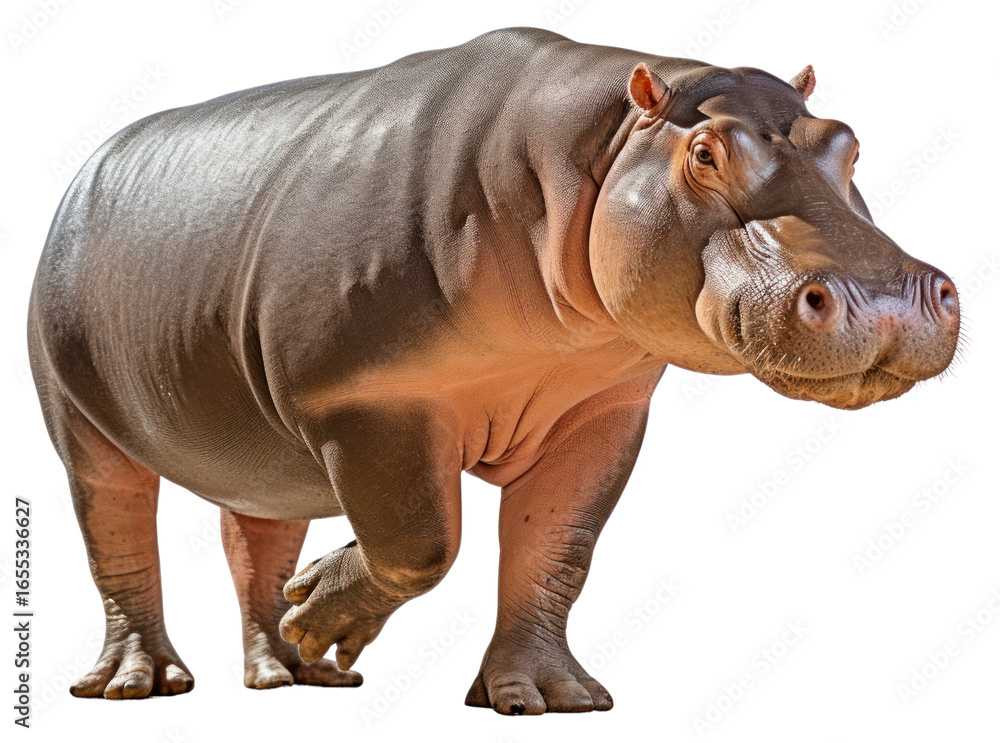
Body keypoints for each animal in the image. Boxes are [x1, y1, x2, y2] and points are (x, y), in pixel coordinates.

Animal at [28, 27, 959, 714]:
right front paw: (326, 605)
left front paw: (549, 699)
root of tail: (86, 168)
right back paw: (140, 685)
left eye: (848, 142)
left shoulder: (602, 408)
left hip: (257, 449)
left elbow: (558, 549)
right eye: (703, 152)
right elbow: (423, 544)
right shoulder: (368, 401)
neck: (605, 148)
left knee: (253, 530)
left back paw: (293, 669)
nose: (887, 302)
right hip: (77, 410)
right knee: (114, 525)